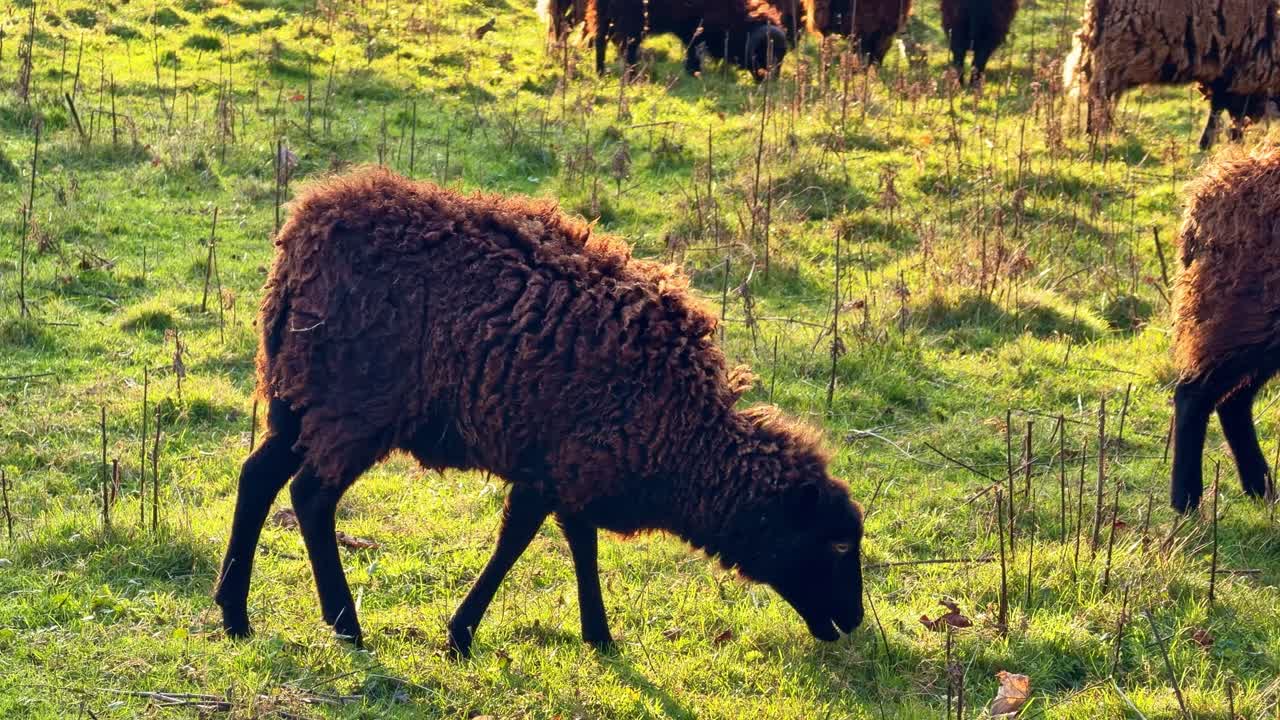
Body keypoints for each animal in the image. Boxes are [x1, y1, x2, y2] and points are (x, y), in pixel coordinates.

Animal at [212, 168, 865, 657]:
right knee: (311, 497)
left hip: (298, 393)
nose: (855, 621)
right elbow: (519, 539)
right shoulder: (554, 467)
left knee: (257, 476)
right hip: (356, 408)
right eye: (836, 546)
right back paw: (345, 624)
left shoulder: (572, 464)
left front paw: (598, 635)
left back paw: (234, 613)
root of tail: (305, 232)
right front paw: (461, 634)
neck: (684, 437)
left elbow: (579, 541)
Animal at [586, 0, 789, 78]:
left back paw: (601, 72)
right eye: (762, 51)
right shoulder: (693, 28)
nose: (769, 80)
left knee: (601, 41)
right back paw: (632, 75)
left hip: (605, 15)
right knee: (626, 49)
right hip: (630, 19)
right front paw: (694, 71)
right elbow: (692, 49)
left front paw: (692, 71)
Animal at [1064, 0, 1280, 150]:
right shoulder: (1240, 72)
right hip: (1115, 53)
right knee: (1098, 95)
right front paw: (1221, 143)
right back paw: (1096, 133)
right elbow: (1228, 111)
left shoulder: (1226, 75)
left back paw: (1098, 132)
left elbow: (1220, 108)